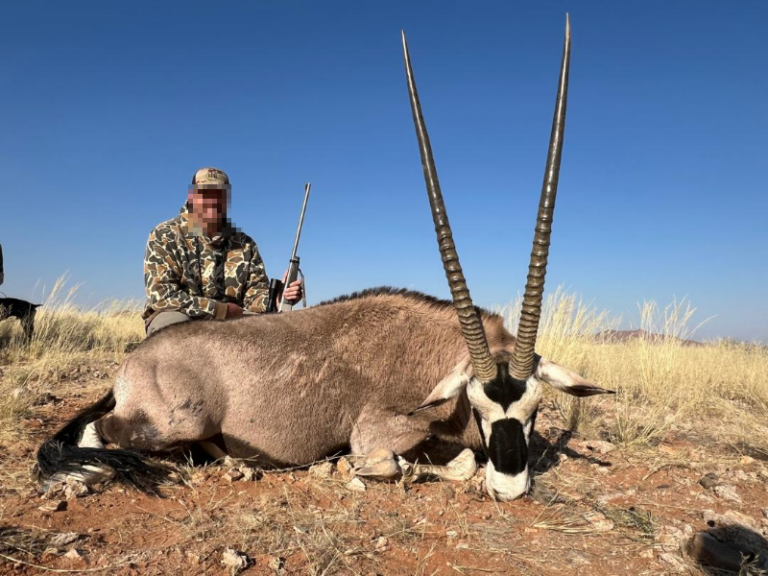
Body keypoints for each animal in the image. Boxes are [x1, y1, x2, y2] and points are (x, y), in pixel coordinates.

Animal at [37, 17, 612, 501]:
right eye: (478, 405)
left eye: (536, 408)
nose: (510, 486)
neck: (431, 349)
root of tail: (134, 362)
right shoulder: (376, 429)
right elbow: (445, 461)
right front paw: (366, 468)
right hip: (172, 422)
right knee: (102, 434)